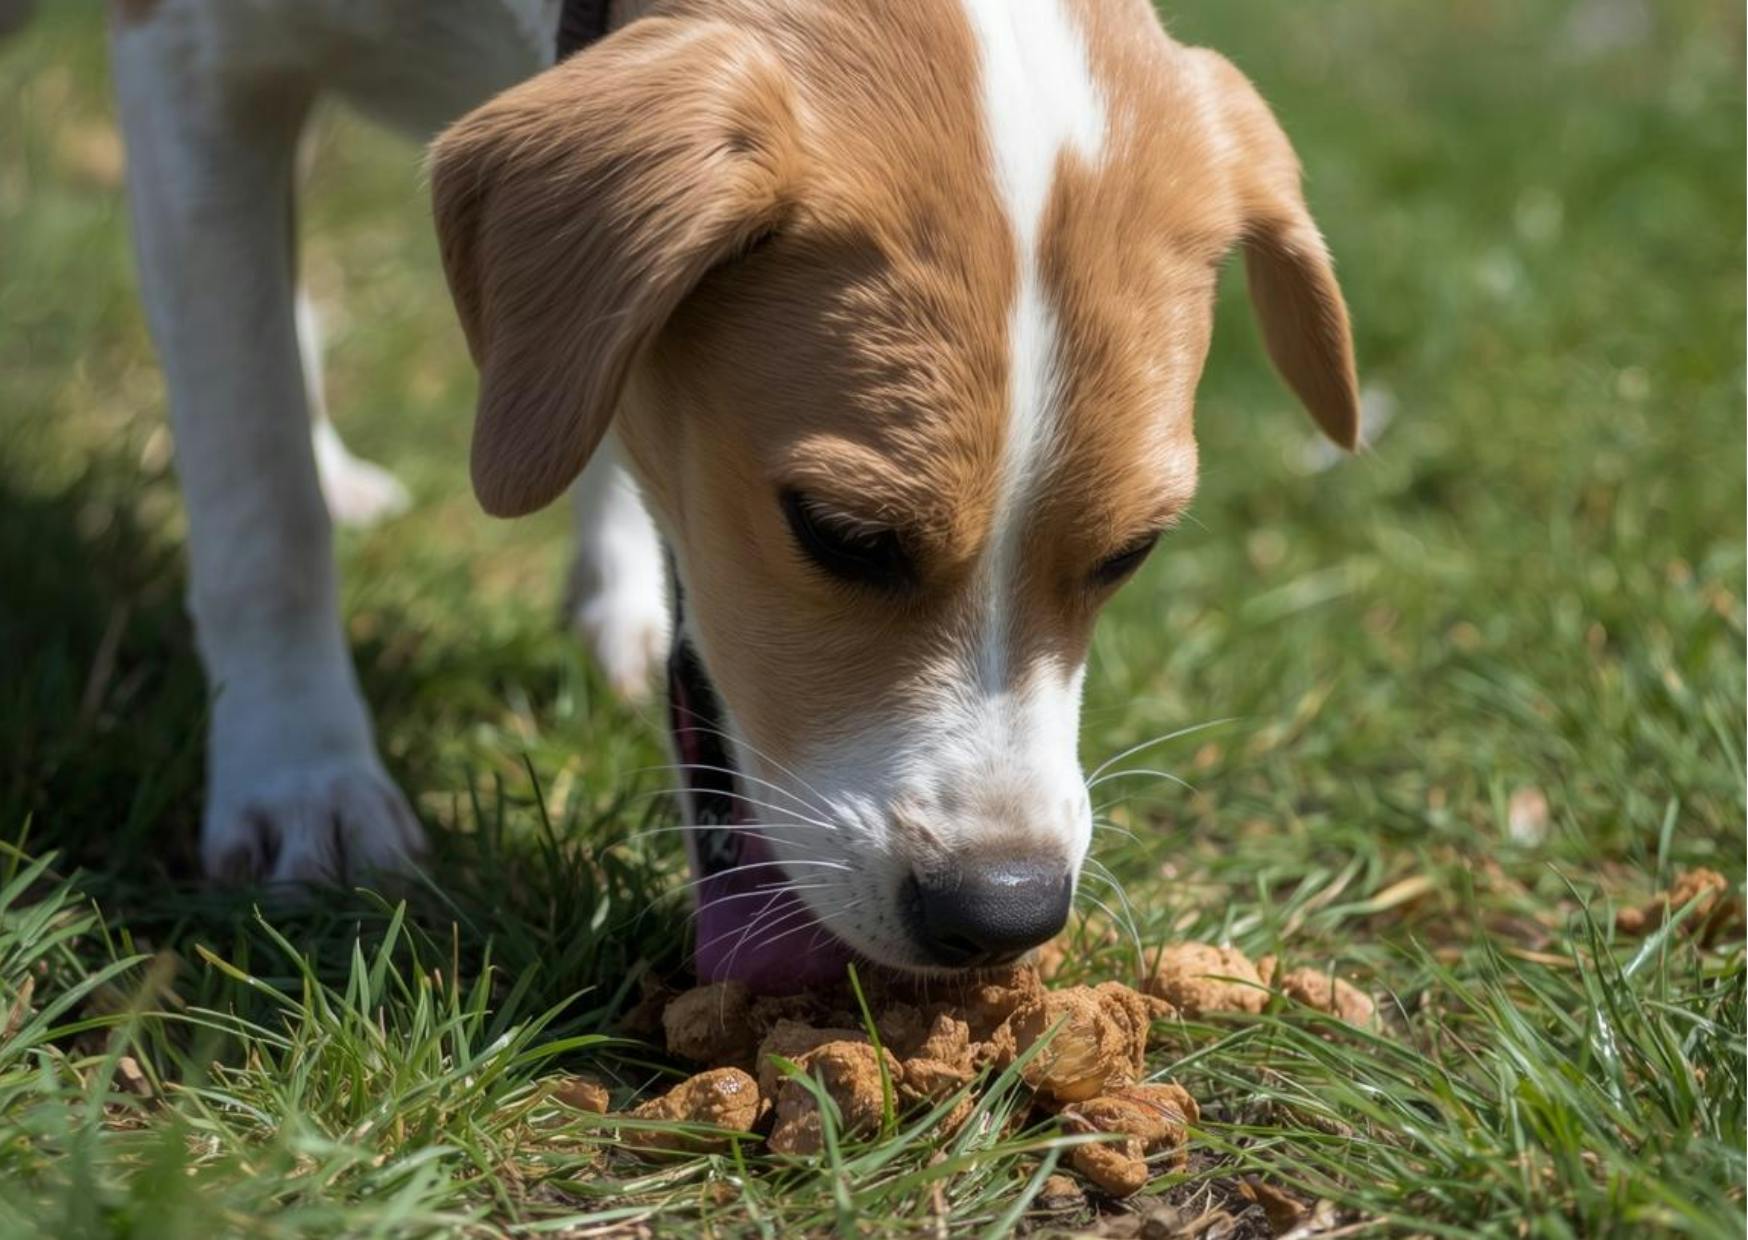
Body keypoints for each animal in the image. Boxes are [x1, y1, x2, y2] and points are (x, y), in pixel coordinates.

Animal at [109, 0, 1357, 990]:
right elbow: (258, 493)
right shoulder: (188, 68)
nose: (1002, 910)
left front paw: (621, 602)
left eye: (1132, 551)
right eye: (841, 536)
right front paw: (300, 776)